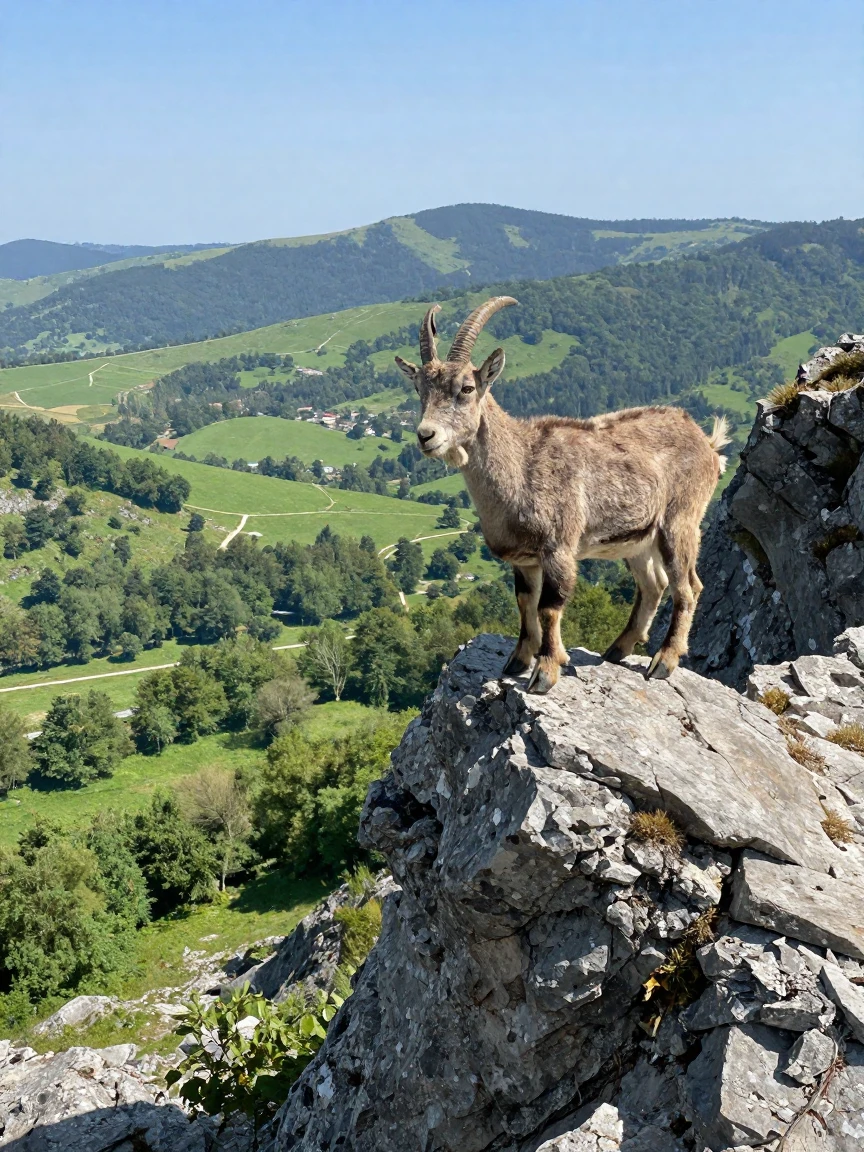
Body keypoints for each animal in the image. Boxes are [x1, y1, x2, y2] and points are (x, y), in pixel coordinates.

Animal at [396, 296, 730, 694]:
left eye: (466, 388)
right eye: (419, 388)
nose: (426, 436)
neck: (521, 467)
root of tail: (707, 443)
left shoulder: (559, 548)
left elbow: (550, 607)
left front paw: (546, 671)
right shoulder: (524, 560)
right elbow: (525, 602)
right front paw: (518, 660)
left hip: (680, 522)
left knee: (688, 586)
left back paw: (664, 661)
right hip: (637, 539)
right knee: (654, 585)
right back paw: (617, 649)